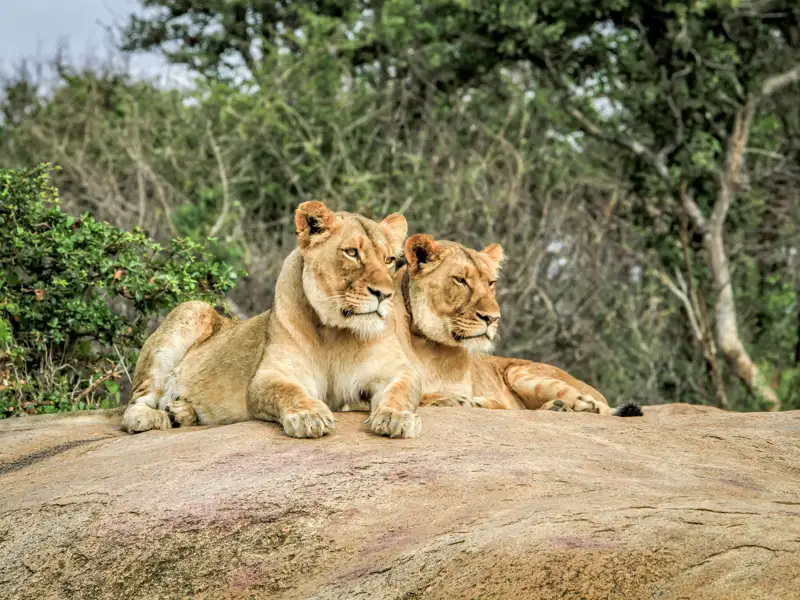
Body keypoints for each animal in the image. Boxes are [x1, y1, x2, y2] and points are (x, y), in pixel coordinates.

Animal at [120, 200, 422, 439]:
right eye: (352, 253)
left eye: (388, 259)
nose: (384, 294)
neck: (338, 332)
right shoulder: (270, 375)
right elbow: (287, 391)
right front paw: (309, 417)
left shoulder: (396, 370)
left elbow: (402, 391)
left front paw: (397, 418)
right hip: (190, 310)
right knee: (134, 406)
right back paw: (154, 417)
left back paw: (181, 412)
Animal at [397, 233, 641, 417]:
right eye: (460, 280)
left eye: (491, 283)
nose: (492, 318)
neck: (431, 347)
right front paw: (450, 399)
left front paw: (467, 401)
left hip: (519, 372)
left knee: (599, 407)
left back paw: (569, 405)